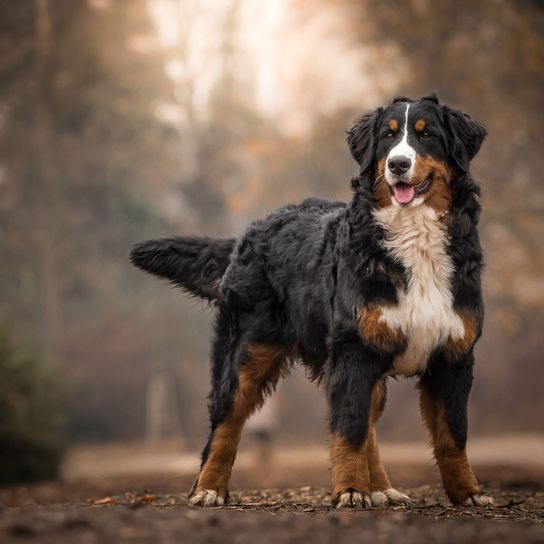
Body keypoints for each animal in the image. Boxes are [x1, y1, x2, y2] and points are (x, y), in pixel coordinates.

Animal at [131, 94, 492, 510]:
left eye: (427, 134)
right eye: (387, 138)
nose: (397, 164)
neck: (414, 237)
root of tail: (250, 232)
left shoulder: (452, 355)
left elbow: (453, 435)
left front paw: (468, 493)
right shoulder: (353, 352)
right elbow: (348, 430)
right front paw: (349, 491)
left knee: (368, 425)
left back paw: (381, 487)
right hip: (247, 351)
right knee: (226, 421)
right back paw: (209, 488)